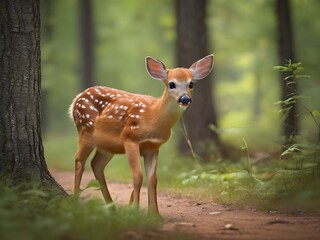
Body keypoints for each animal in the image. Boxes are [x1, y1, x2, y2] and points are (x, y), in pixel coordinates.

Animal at [69, 54, 214, 214]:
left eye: (191, 84)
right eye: (171, 84)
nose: (185, 99)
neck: (152, 117)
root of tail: (76, 99)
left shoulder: (153, 147)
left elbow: (153, 179)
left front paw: (154, 214)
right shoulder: (130, 138)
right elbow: (138, 176)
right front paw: (134, 211)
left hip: (107, 145)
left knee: (96, 164)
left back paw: (111, 207)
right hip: (85, 129)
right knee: (79, 160)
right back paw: (76, 202)